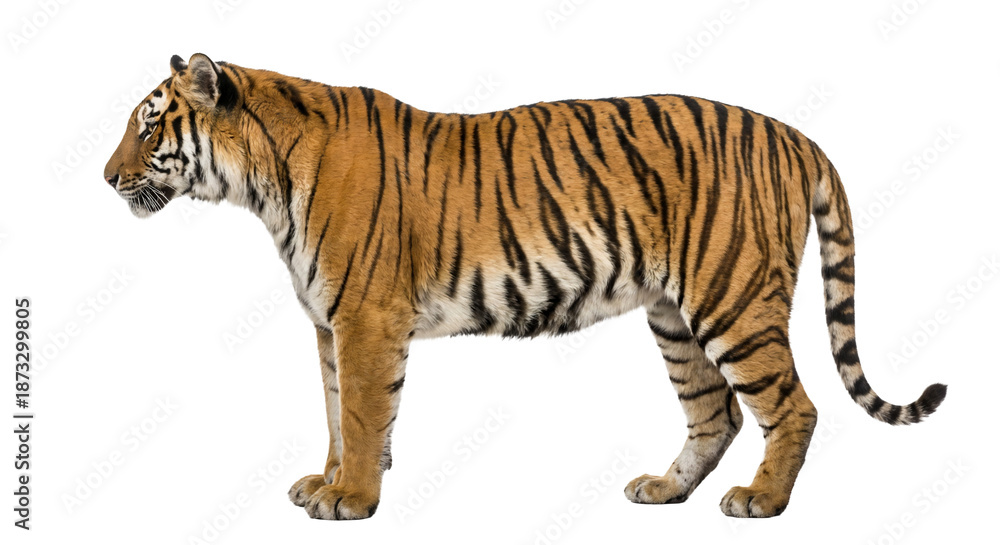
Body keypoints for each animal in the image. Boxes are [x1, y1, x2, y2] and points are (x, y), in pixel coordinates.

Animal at [103, 53, 946, 520]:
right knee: (717, 414)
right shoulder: (328, 325)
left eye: (149, 126)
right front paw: (328, 480)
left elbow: (365, 414)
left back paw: (762, 501)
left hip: (732, 298)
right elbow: (337, 411)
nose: (107, 177)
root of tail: (794, 133)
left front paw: (351, 498)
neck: (261, 185)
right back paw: (664, 490)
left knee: (792, 406)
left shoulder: (365, 319)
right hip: (674, 316)